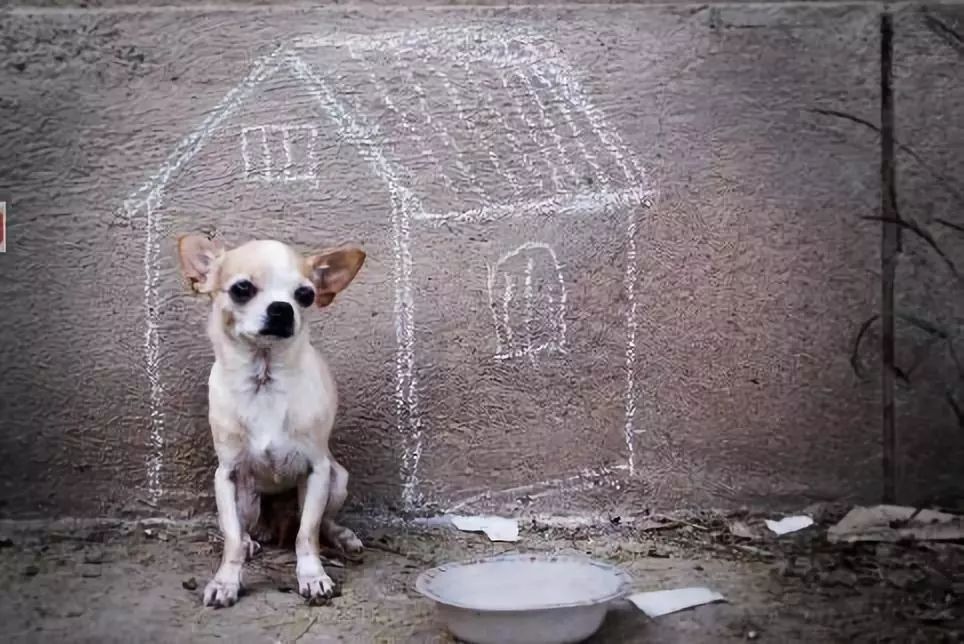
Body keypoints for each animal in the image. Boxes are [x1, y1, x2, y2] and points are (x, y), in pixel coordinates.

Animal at [175, 234, 368, 608]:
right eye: (242, 289)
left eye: (305, 295)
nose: (282, 308)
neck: (263, 379)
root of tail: (276, 523)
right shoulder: (227, 475)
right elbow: (231, 538)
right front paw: (226, 582)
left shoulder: (318, 470)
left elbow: (307, 534)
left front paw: (313, 577)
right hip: (246, 499)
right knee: (242, 529)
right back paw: (252, 541)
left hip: (337, 480)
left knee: (321, 522)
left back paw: (342, 536)